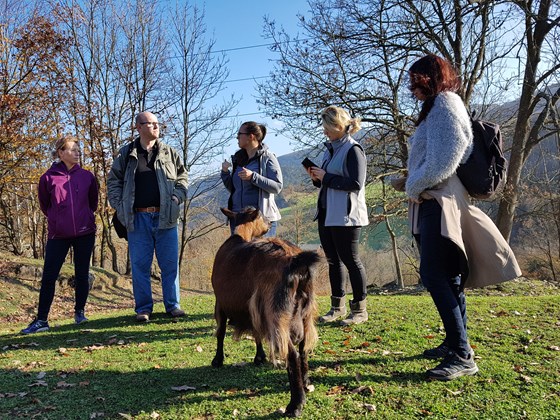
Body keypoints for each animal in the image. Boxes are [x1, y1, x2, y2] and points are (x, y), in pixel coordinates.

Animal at [212, 207, 322, 416]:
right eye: (262, 217)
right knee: (303, 348)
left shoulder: (220, 303)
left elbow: (220, 332)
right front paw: (259, 357)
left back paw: (295, 405)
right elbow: (256, 333)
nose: (270, 223)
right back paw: (306, 382)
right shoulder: (253, 309)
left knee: (292, 355)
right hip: (305, 312)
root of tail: (295, 262)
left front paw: (217, 360)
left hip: (277, 313)